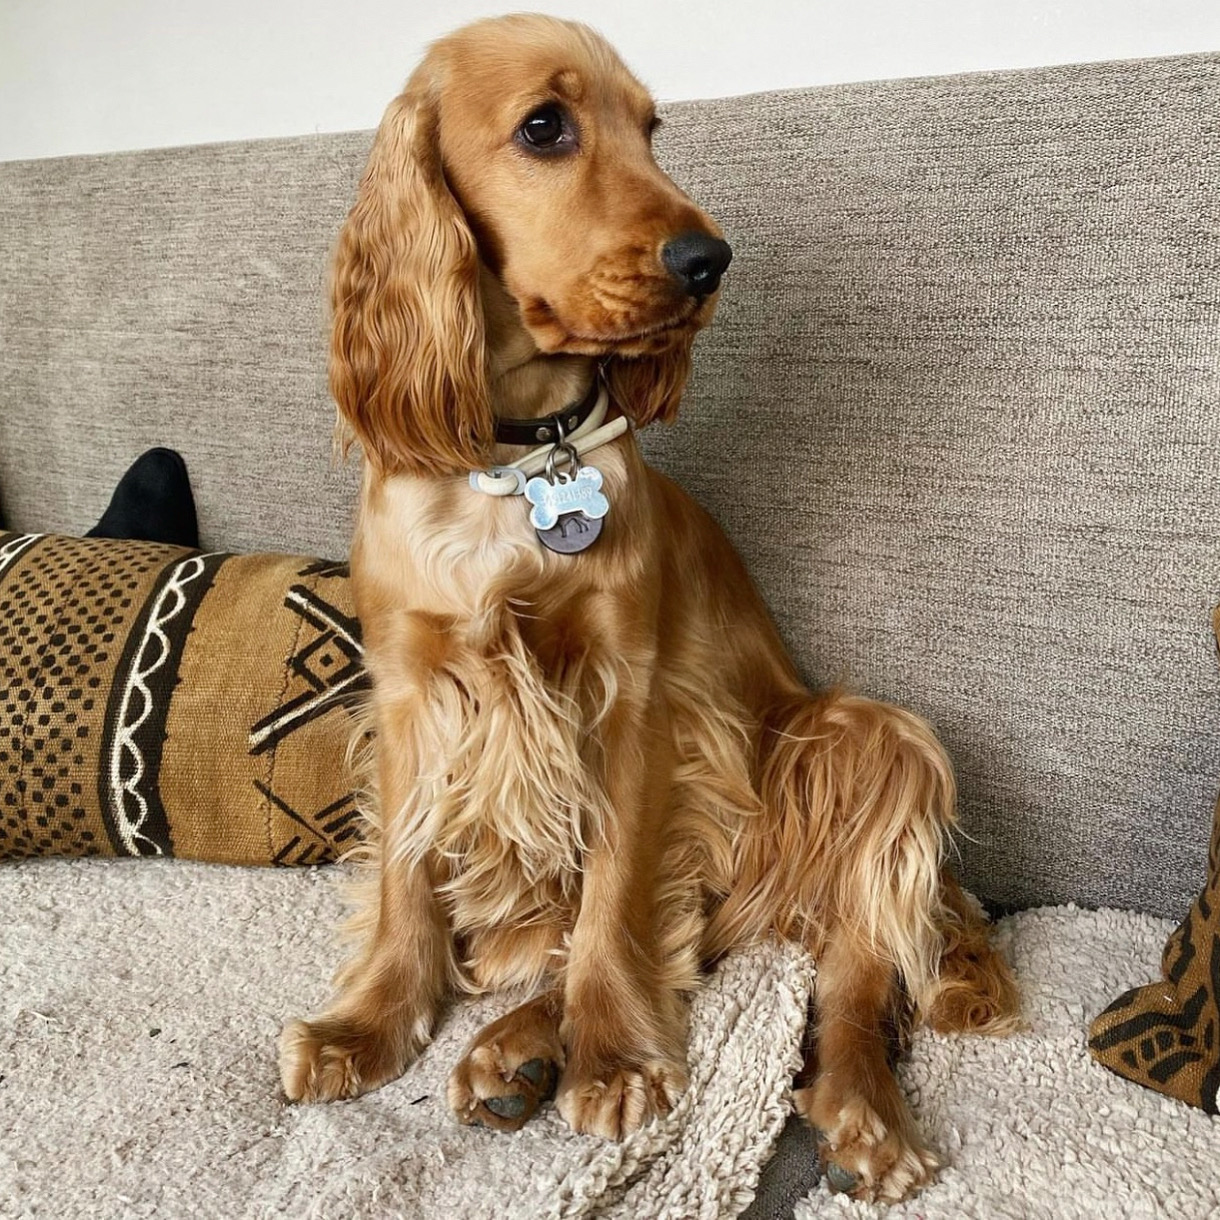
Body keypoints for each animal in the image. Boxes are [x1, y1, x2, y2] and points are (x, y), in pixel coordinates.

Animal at [278, 13, 1021, 1203]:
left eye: (652, 127)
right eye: (545, 126)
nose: (708, 259)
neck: (519, 462)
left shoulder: (626, 698)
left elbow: (618, 892)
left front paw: (616, 1057)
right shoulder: (408, 694)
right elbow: (406, 876)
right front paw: (370, 1025)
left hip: (863, 737)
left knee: (843, 961)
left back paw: (859, 1114)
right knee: (687, 935)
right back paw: (513, 1048)